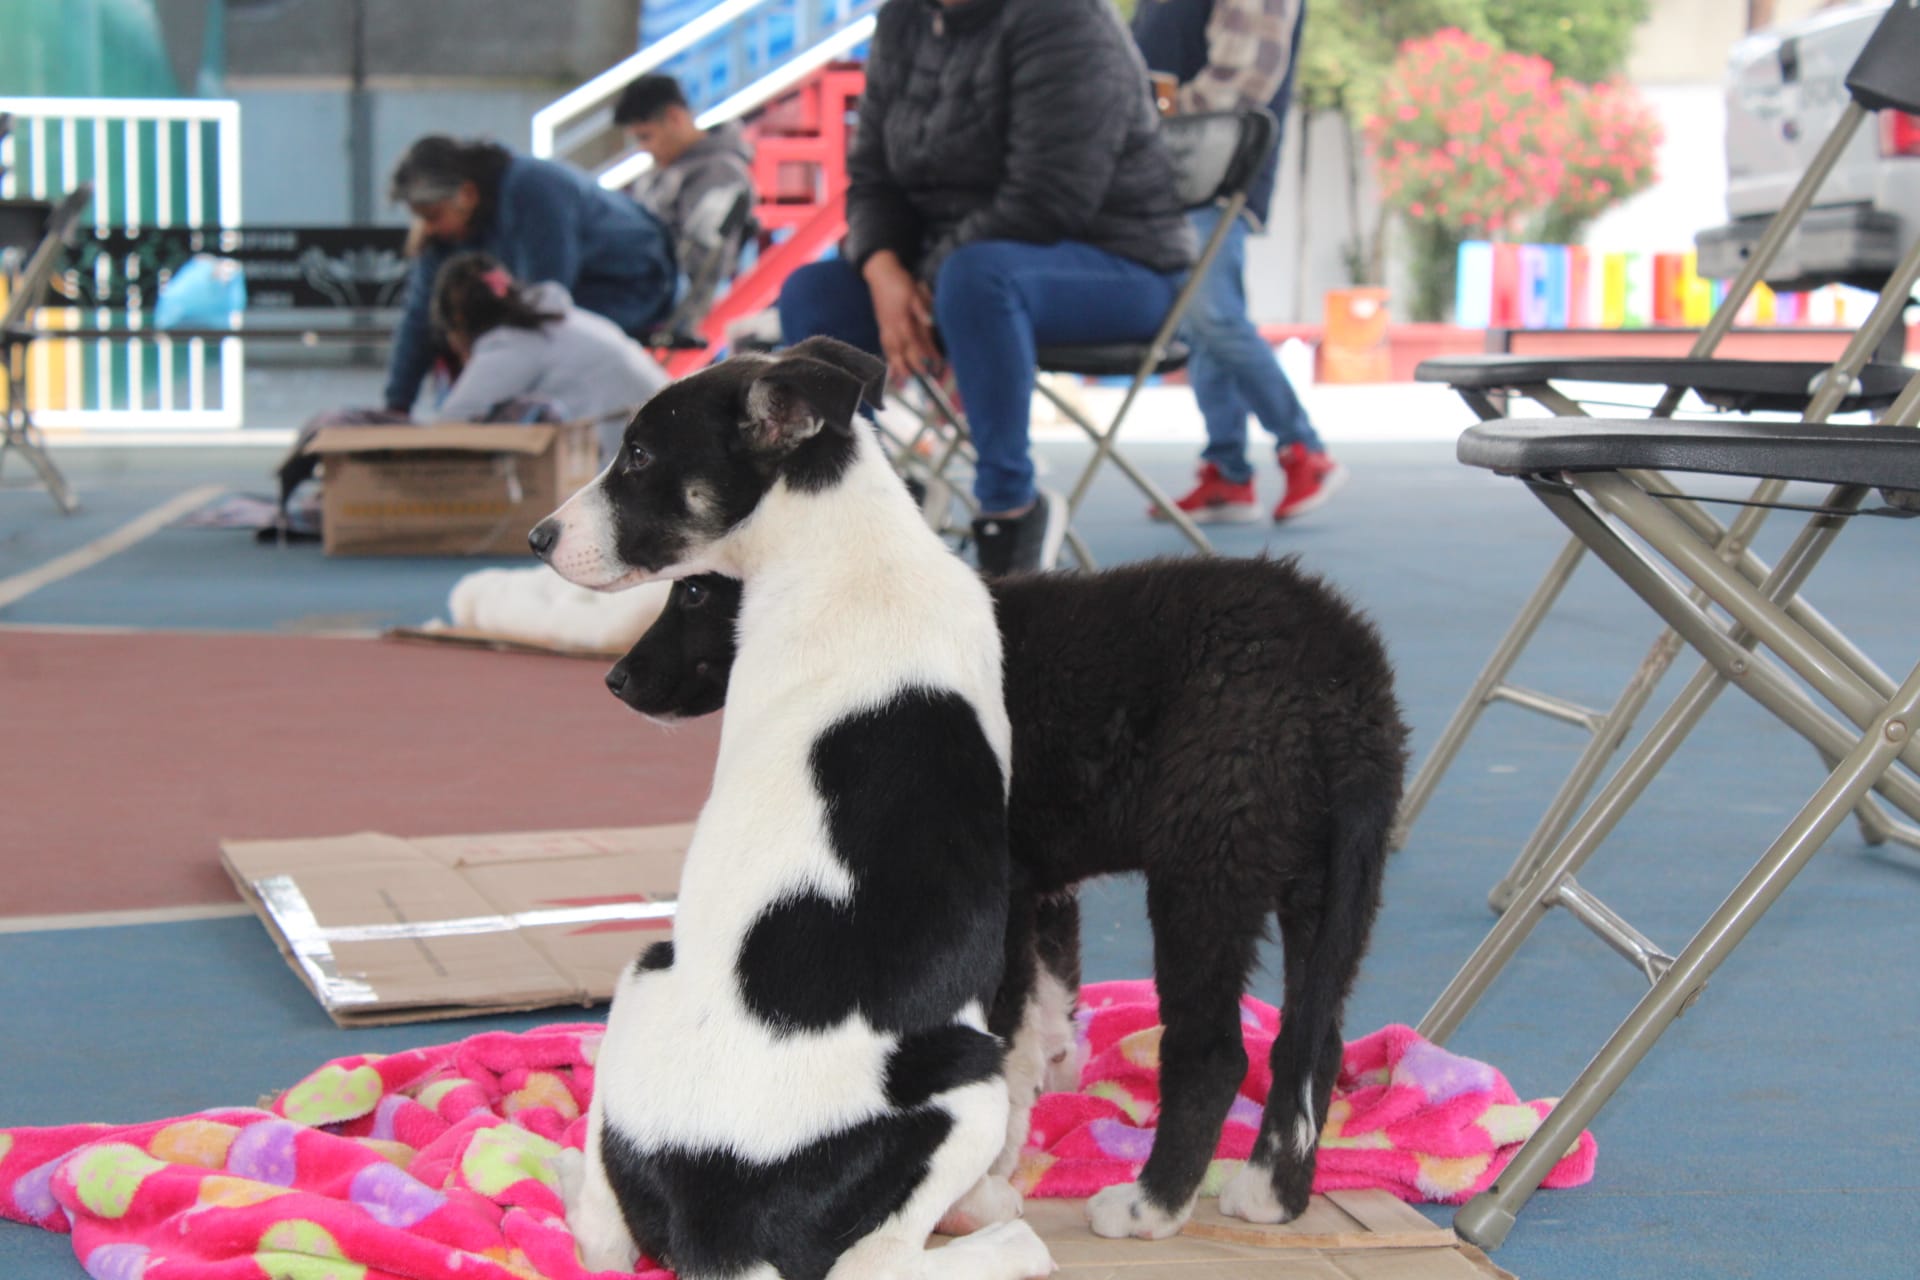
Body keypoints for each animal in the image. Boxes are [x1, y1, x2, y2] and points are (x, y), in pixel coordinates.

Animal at [533, 337, 1059, 1280]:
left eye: (639, 455)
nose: (538, 538)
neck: (852, 557)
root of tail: (722, 1234)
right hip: (963, 1078)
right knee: (864, 1262)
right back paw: (1002, 1230)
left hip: (647, 971)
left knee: (607, 1234)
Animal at [610, 560, 1413, 1243]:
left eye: (693, 594)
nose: (617, 679)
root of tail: (1341, 673)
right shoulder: (1037, 891)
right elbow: (1033, 1031)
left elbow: (992, 1031)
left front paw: (971, 1190)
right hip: (1335, 879)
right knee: (1314, 1040)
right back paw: (1273, 1194)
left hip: (1205, 860)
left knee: (1213, 1051)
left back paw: (1150, 1208)